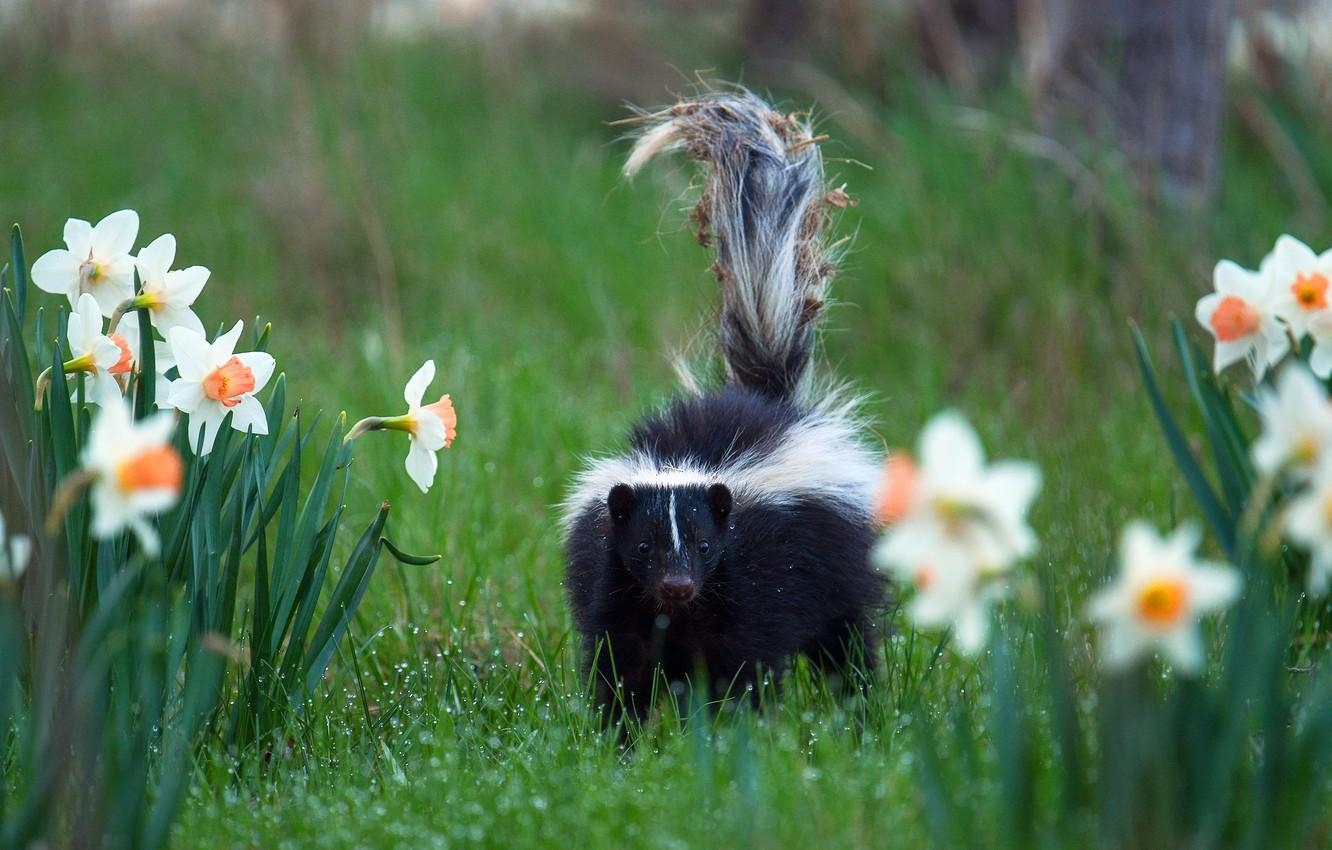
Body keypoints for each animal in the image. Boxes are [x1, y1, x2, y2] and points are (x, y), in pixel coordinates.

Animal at [562, 93, 884, 724]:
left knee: (846, 641)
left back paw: (861, 709)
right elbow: (621, 668)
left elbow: (742, 667)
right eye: (643, 546)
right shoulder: (615, 585)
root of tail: (765, 400)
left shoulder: (756, 579)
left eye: (706, 545)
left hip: (839, 564)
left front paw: (730, 732)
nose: (678, 584)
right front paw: (616, 738)